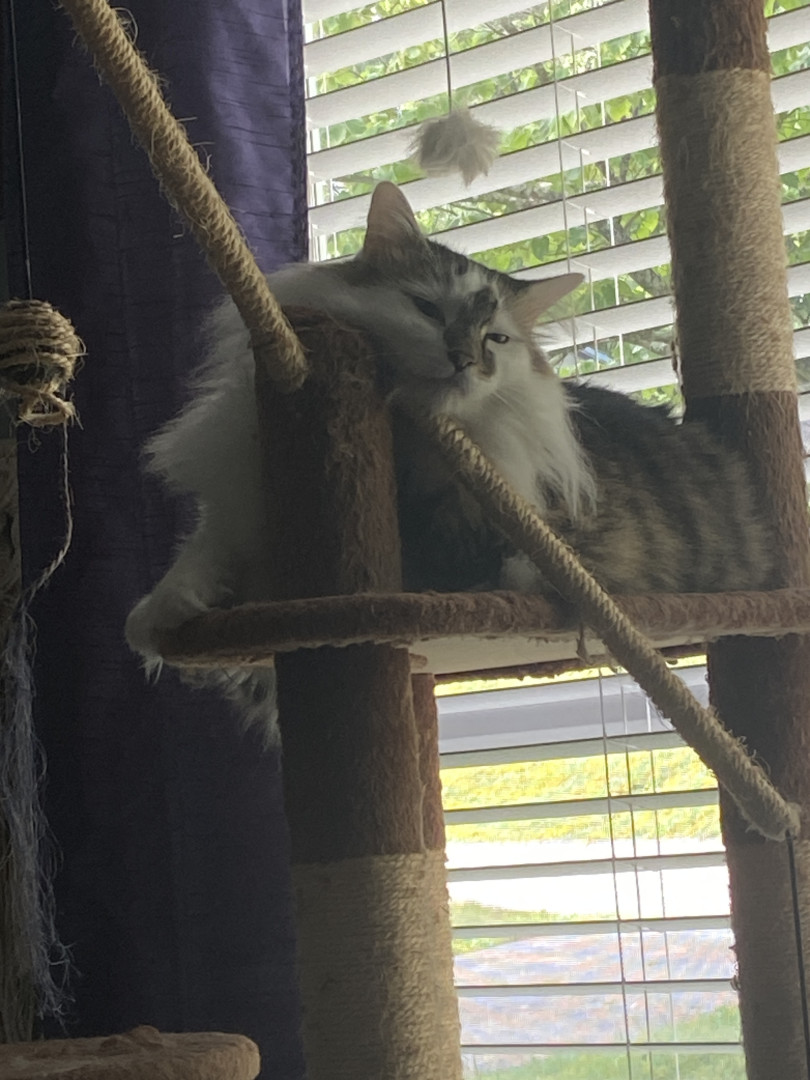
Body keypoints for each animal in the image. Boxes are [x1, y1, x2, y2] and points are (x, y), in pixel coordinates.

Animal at [125, 181, 774, 735]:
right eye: (428, 310)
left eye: (497, 340)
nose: (465, 359)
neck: (399, 440)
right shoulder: (240, 496)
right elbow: (201, 554)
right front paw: (161, 616)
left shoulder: (470, 552)